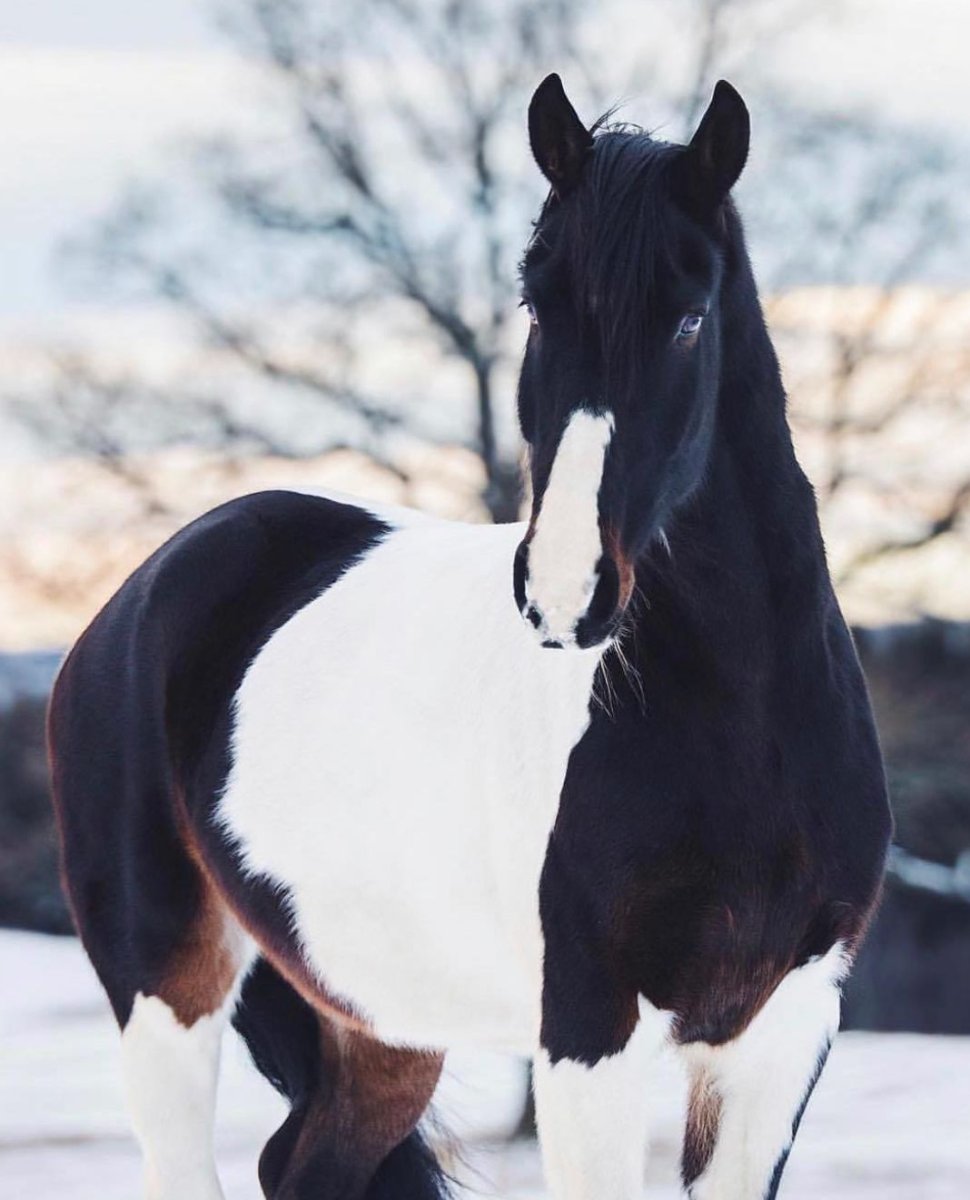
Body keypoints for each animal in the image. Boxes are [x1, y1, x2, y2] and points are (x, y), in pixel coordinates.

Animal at [49, 74, 891, 1200]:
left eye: (689, 318)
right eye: (536, 304)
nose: (567, 589)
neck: (744, 727)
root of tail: (144, 591)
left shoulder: (783, 1028)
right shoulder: (589, 1028)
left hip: (377, 1022)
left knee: (302, 1164)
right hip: (166, 993)